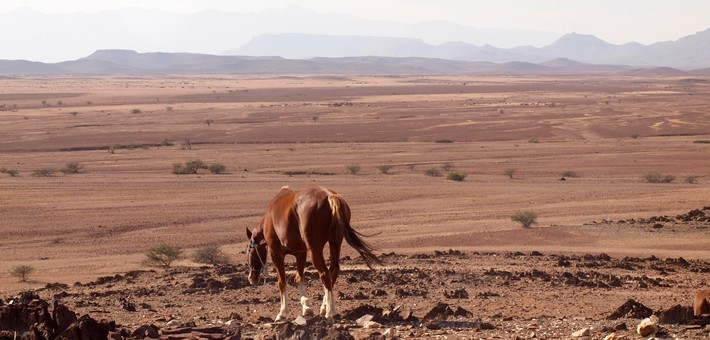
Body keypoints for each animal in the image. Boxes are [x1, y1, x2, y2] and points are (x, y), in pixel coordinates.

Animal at [245, 186, 382, 322]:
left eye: (249, 250)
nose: (251, 278)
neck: (269, 219)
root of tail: (330, 196)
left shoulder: (276, 253)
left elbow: (281, 282)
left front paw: (282, 313)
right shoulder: (300, 253)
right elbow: (298, 278)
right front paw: (307, 307)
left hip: (315, 250)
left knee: (324, 274)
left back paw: (330, 312)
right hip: (335, 243)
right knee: (333, 270)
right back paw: (324, 307)